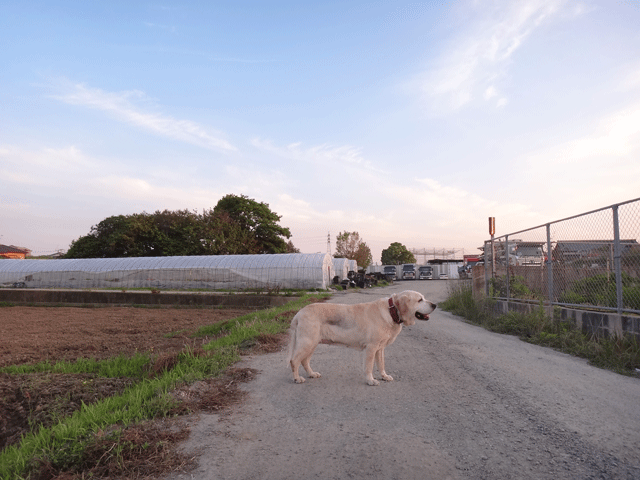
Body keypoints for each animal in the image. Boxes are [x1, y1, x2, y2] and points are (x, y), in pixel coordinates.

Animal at [288, 288, 436, 386]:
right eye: (420, 300)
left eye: (423, 298)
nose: (434, 305)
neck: (391, 311)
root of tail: (299, 313)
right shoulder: (371, 347)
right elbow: (369, 366)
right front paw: (371, 380)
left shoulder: (380, 348)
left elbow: (381, 364)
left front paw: (384, 376)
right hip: (307, 343)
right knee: (294, 360)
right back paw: (297, 378)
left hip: (312, 344)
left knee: (304, 361)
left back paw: (312, 374)